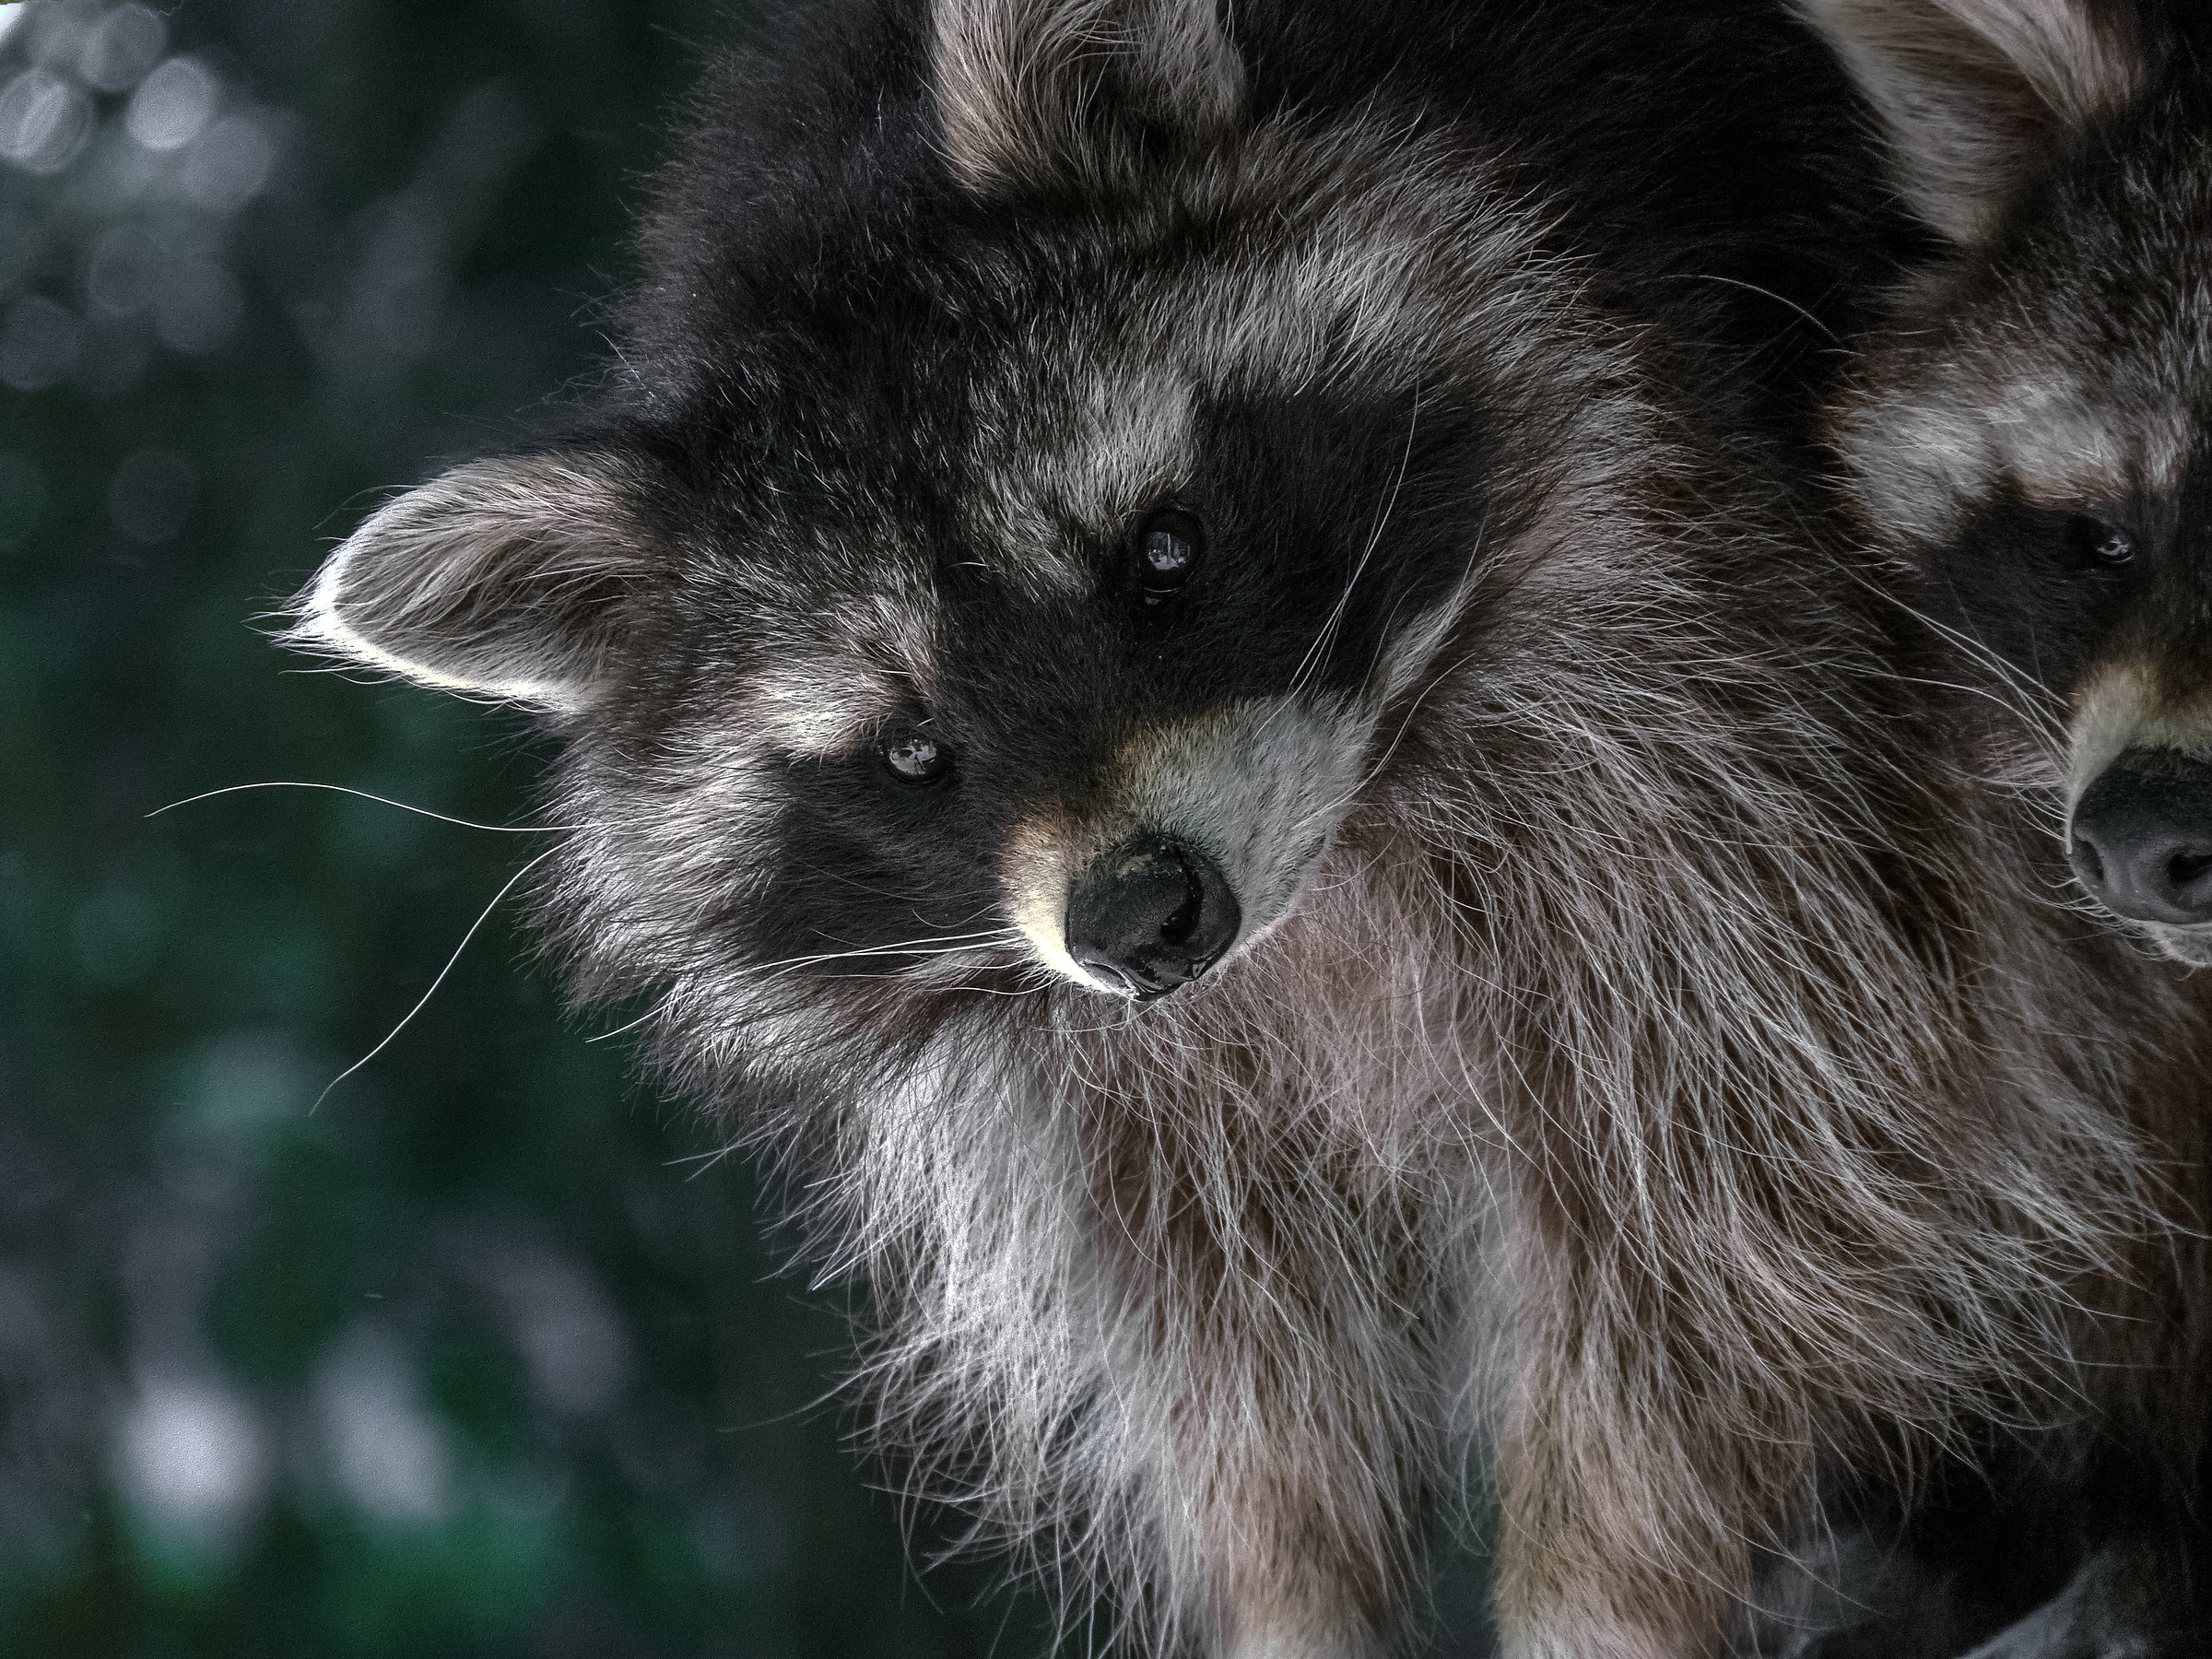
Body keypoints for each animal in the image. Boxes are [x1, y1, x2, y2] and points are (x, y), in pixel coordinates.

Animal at [285, 1, 2192, 1654]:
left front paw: (1603, 1582)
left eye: (1164, 556)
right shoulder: (1097, 1076)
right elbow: (1250, 1375)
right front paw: (1300, 1596)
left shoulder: (1735, 701)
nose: (1147, 917)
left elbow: (1735, 1209)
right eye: (913, 753)